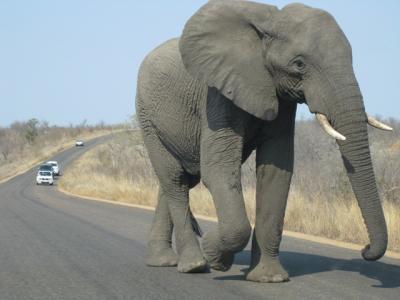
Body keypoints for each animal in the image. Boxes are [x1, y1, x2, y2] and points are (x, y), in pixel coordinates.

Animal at [136, 0, 392, 282]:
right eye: (299, 64)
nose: (365, 249)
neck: (269, 24)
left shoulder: (281, 97)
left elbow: (276, 172)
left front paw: (269, 278)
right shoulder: (218, 94)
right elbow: (218, 170)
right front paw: (216, 256)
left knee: (178, 180)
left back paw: (164, 260)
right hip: (147, 116)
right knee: (174, 179)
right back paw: (194, 264)